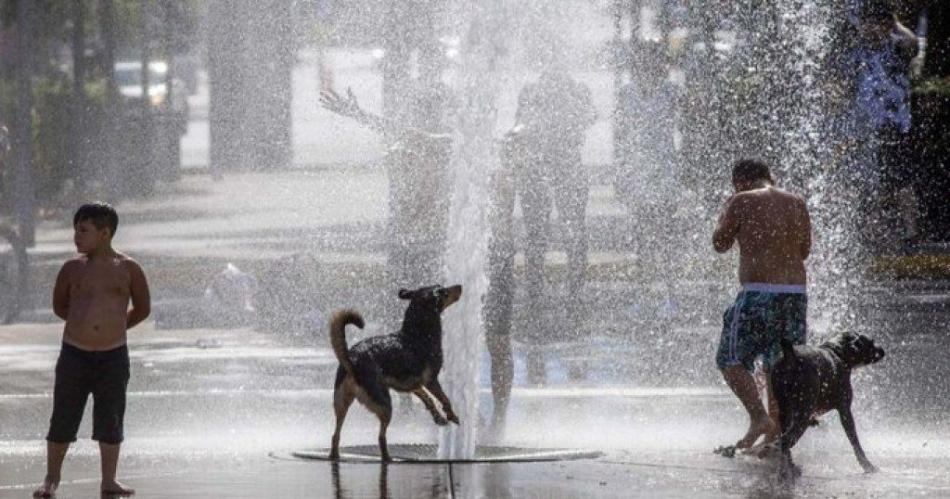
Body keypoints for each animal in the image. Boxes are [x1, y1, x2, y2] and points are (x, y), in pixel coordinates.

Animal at [330, 286, 462, 460]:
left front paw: (438, 417)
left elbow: (428, 400)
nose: (460, 286)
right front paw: (452, 416)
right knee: (380, 437)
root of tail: (352, 359)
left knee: (335, 435)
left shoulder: (411, 385)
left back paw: (335, 455)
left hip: (341, 403)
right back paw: (388, 457)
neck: (417, 333)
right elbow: (444, 399)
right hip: (385, 404)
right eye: (444, 291)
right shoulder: (430, 380)